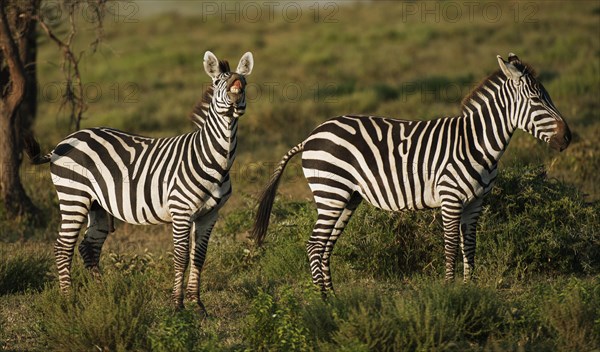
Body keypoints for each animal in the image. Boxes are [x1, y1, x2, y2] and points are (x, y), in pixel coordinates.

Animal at [26, 51, 253, 312]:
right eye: (218, 82)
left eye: (244, 83)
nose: (237, 89)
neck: (212, 160)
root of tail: (61, 144)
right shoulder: (181, 211)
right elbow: (181, 256)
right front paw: (177, 305)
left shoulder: (210, 214)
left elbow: (199, 256)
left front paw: (197, 305)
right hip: (74, 196)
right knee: (63, 247)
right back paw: (68, 301)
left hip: (97, 204)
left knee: (89, 247)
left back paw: (103, 295)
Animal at [253, 53, 572, 292]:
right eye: (536, 100)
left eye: (548, 97)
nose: (567, 138)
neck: (476, 143)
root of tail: (310, 137)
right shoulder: (450, 198)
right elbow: (450, 246)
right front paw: (450, 293)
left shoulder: (475, 202)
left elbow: (470, 246)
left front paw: (470, 289)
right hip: (330, 192)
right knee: (314, 245)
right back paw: (323, 301)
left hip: (347, 198)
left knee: (325, 247)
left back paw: (333, 298)